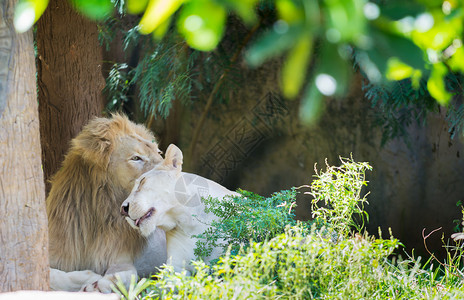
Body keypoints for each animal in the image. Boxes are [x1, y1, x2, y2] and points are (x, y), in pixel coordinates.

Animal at [45, 113, 167, 292]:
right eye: (136, 158)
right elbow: (52, 274)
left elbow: (128, 274)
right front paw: (90, 278)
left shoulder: (120, 257)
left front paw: (98, 285)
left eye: (159, 152)